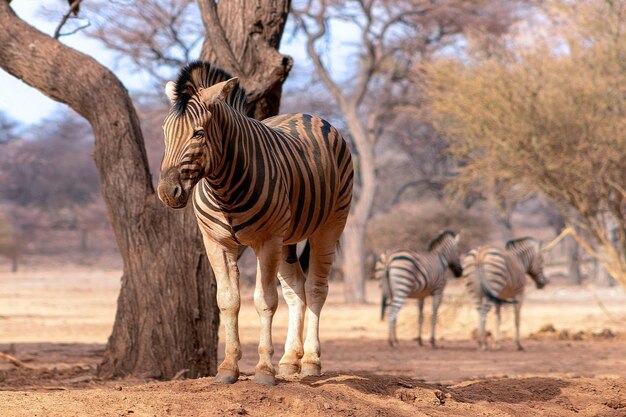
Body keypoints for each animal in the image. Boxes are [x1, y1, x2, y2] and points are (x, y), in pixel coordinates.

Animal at [155, 61, 352, 384]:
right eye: (165, 132)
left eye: (198, 134)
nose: (167, 193)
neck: (224, 187)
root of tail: (308, 115)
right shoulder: (216, 242)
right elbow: (228, 300)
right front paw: (228, 368)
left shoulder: (266, 241)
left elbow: (265, 301)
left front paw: (263, 371)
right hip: (287, 238)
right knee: (295, 289)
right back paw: (289, 360)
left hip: (330, 226)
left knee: (315, 288)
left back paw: (311, 361)